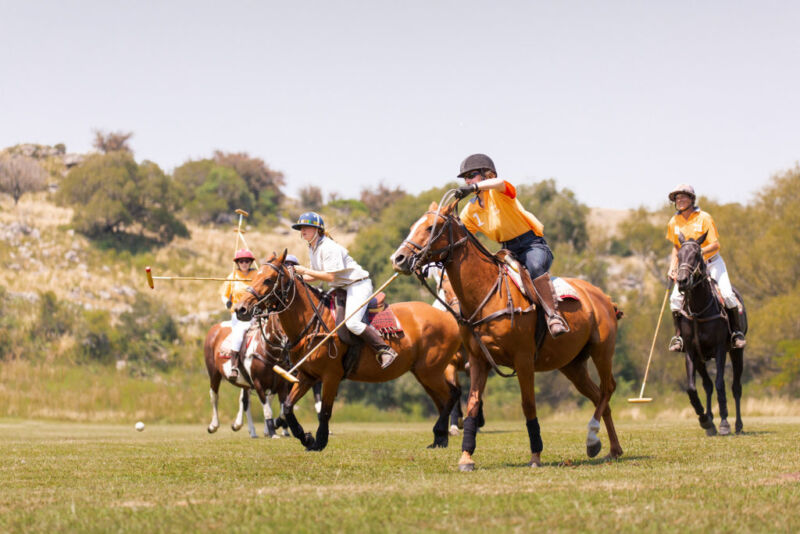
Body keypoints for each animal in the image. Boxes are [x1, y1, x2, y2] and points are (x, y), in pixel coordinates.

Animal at [234, 251, 462, 452]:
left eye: (268, 280)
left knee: (452, 394)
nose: (240, 309)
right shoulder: (307, 375)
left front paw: (319, 442)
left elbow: (324, 411)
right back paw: (439, 440)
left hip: (430, 370)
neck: (312, 321)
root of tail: (450, 317)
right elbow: (288, 407)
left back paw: (440, 433)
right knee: (443, 399)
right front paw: (306, 438)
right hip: (424, 373)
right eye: (255, 276)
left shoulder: (331, 375)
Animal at [680, 232, 748, 438]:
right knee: (707, 385)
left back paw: (738, 425)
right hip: (702, 359)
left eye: (696, 255)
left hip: (736, 352)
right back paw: (710, 421)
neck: (698, 309)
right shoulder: (691, 352)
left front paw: (724, 422)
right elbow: (692, 388)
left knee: (736, 387)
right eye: (678, 255)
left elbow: (720, 384)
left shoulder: (719, 349)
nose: (681, 281)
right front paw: (705, 420)